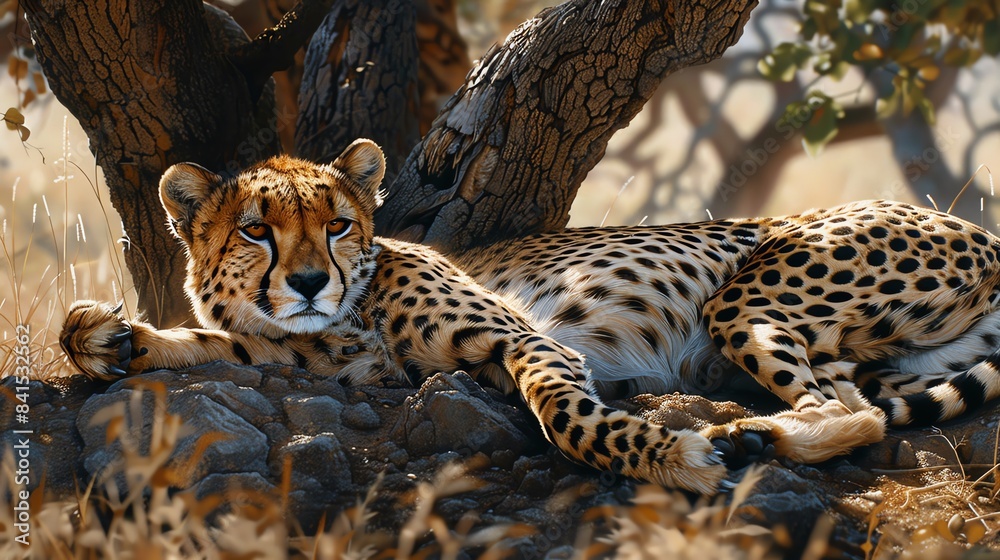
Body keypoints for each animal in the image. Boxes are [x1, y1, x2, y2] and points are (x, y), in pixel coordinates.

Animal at [61, 138, 1000, 494]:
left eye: (337, 224)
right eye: (257, 230)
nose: (307, 283)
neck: (341, 319)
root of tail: (976, 226)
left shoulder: (526, 339)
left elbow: (567, 417)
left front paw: (671, 459)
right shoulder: (310, 358)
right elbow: (207, 342)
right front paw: (109, 336)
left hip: (747, 297)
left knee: (846, 411)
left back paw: (743, 440)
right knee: (859, 400)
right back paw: (751, 436)